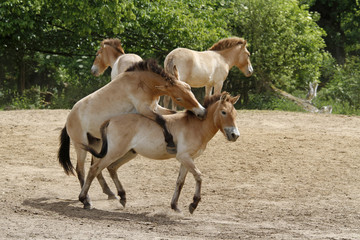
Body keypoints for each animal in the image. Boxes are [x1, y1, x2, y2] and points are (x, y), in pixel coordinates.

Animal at [58, 58, 205, 201]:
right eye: (178, 98)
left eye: (189, 88)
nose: (202, 112)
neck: (143, 83)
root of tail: (68, 119)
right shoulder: (145, 109)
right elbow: (161, 120)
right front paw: (170, 142)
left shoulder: (156, 108)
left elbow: (171, 114)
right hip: (81, 146)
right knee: (81, 169)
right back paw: (86, 199)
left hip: (97, 143)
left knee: (95, 167)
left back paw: (109, 192)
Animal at [80, 92, 240, 214]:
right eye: (224, 112)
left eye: (235, 113)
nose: (235, 135)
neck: (196, 126)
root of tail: (111, 120)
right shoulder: (184, 157)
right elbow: (199, 176)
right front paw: (193, 204)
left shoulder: (187, 160)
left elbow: (180, 182)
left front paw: (175, 206)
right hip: (115, 152)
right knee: (94, 169)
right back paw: (84, 200)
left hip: (129, 153)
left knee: (112, 168)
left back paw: (122, 197)